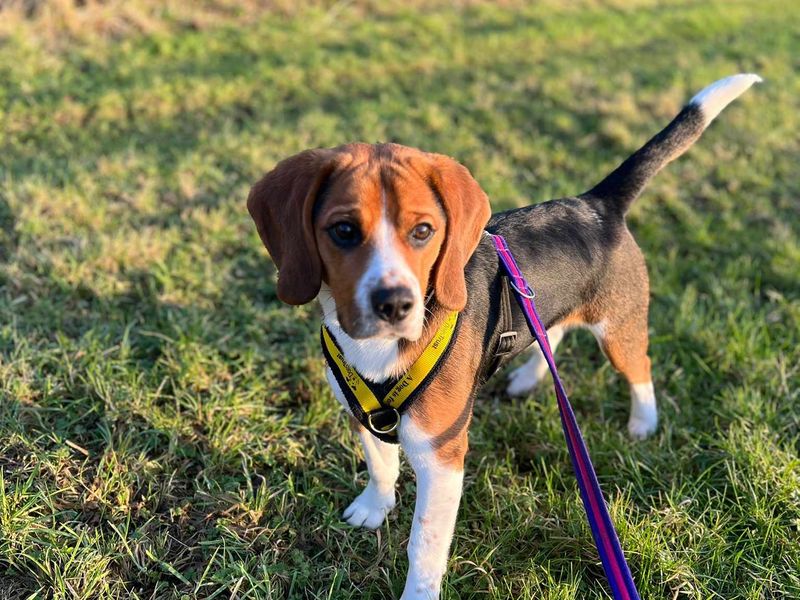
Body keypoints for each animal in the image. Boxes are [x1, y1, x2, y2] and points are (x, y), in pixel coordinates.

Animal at [247, 74, 760, 596]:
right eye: (344, 231)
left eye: (423, 231)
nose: (394, 305)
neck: (377, 351)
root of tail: (597, 203)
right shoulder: (361, 416)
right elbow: (380, 465)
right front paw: (375, 506)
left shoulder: (443, 457)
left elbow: (423, 544)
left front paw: (418, 590)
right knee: (552, 335)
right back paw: (530, 378)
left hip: (618, 330)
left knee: (640, 369)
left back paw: (643, 422)